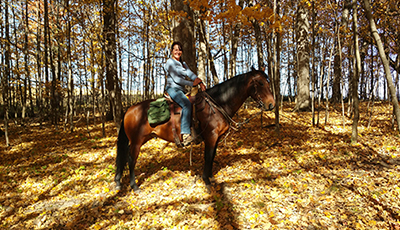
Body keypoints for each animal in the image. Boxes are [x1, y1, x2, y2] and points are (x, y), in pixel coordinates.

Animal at [114, 67, 274, 191]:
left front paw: (211, 177)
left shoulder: (216, 138)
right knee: (131, 160)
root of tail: (129, 110)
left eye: (268, 82)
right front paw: (206, 181)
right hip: (136, 142)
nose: (271, 104)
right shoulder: (211, 137)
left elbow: (213, 156)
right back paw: (135, 186)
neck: (216, 105)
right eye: (260, 82)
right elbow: (208, 157)